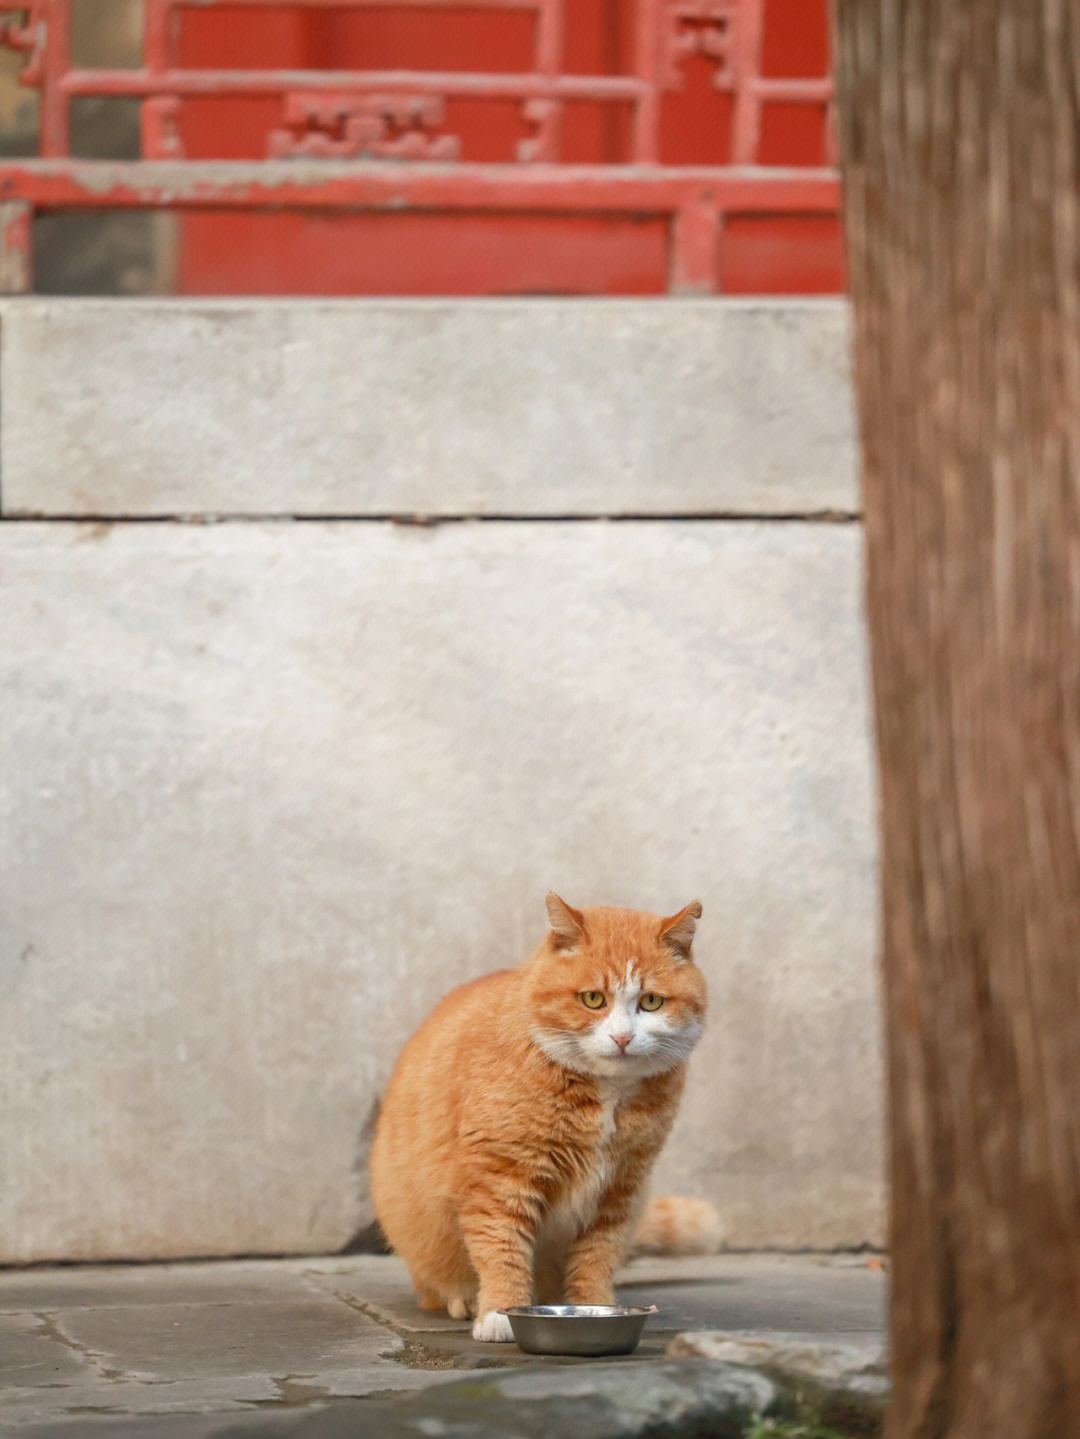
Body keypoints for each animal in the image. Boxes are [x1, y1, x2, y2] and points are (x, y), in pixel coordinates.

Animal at [371, 892, 710, 1341]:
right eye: (593, 999)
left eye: (651, 1002)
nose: (622, 1038)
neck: (606, 1094)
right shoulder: (501, 1178)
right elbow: (502, 1247)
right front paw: (499, 1311)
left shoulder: (619, 1189)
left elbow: (596, 1257)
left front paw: (593, 1305)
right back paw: (462, 1299)